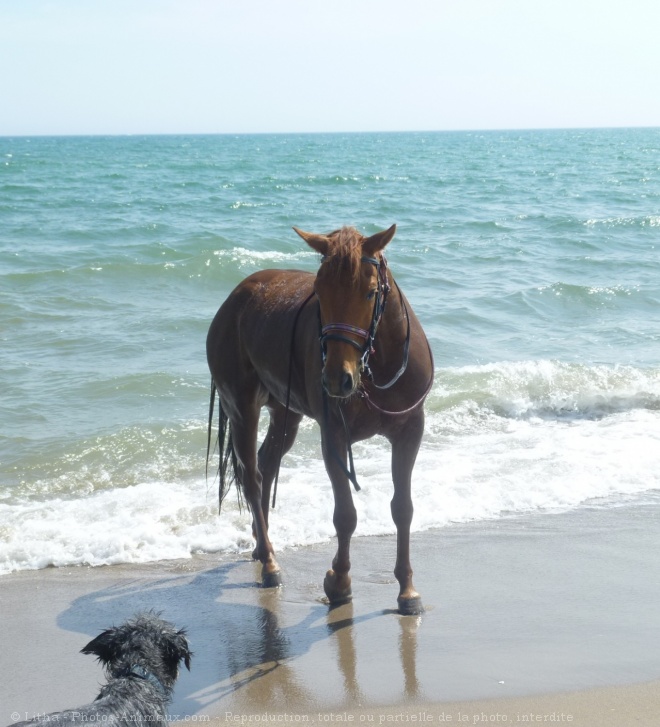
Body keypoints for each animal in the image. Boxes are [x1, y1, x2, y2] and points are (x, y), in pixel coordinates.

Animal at [206, 223, 434, 616]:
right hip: (242, 408)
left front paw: (406, 589)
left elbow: (402, 508)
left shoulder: (409, 432)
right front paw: (339, 581)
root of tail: (235, 298)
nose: (337, 379)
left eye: (369, 291)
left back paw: (260, 543)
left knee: (266, 464)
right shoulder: (334, 437)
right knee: (251, 477)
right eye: (320, 291)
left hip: (285, 413)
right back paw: (269, 561)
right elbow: (346, 515)